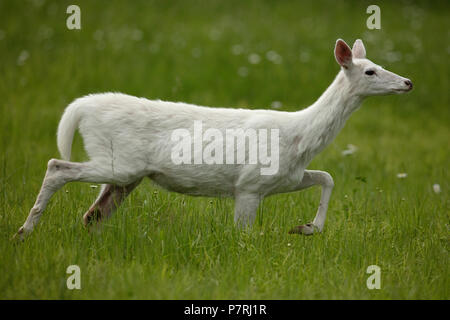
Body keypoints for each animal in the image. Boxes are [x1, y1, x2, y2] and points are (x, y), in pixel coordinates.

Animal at [14, 38, 412, 239]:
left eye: (379, 65)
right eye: (370, 71)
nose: (408, 82)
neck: (299, 139)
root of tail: (80, 108)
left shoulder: (286, 178)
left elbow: (327, 178)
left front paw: (306, 228)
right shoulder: (249, 184)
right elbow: (244, 235)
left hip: (127, 176)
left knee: (93, 213)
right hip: (117, 161)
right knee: (57, 165)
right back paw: (24, 231)